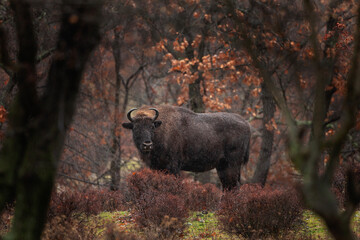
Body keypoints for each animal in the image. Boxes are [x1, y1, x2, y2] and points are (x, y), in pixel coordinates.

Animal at [121, 105, 250, 189]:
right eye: (135, 128)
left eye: (152, 127)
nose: (147, 144)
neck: (160, 130)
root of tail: (246, 123)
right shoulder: (157, 167)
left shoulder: (173, 166)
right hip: (222, 166)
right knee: (228, 186)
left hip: (232, 164)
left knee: (233, 185)